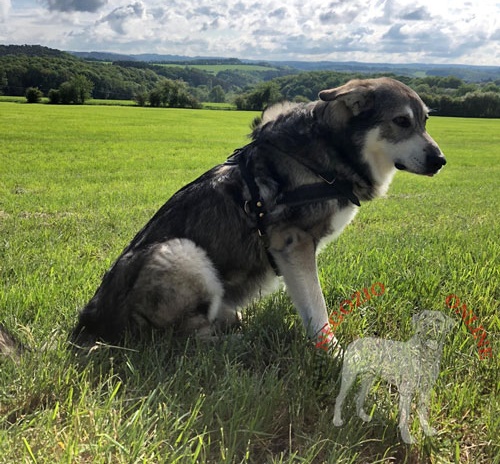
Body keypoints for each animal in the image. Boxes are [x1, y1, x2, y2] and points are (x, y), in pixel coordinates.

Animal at [0, 78, 446, 358]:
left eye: (426, 121)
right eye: (401, 122)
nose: (441, 160)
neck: (328, 153)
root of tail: (88, 326)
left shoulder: (288, 255)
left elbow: (305, 300)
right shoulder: (294, 244)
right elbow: (317, 310)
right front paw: (334, 354)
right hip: (182, 252)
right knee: (180, 340)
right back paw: (237, 342)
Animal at [334, 310, 456, 444]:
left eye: (438, 320)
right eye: (423, 319)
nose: (428, 326)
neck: (426, 355)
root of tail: (353, 343)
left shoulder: (425, 390)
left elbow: (423, 412)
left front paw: (427, 431)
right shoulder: (406, 390)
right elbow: (405, 415)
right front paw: (407, 437)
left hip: (369, 379)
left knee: (358, 397)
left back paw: (363, 416)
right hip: (349, 377)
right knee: (339, 398)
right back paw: (337, 420)